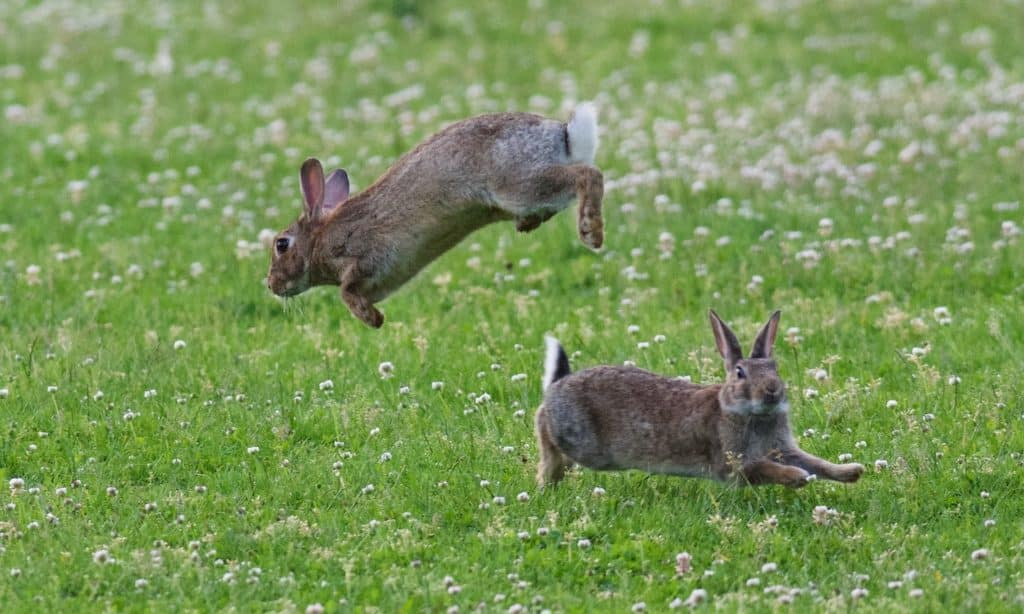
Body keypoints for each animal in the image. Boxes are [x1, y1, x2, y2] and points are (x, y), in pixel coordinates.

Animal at [266, 103, 606, 329]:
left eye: (282, 244)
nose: (271, 284)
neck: (319, 241)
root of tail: (562, 135)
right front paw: (377, 318)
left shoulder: (367, 255)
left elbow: (347, 291)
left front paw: (373, 319)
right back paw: (528, 224)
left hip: (518, 184)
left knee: (589, 175)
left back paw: (591, 231)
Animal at [536, 311, 864, 489]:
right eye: (740, 373)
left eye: (775, 368)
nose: (772, 390)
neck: (751, 414)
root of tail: (558, 384)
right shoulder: (731, 462)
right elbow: (764, 468)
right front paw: (796, 477)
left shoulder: (782, 447)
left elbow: (815, 462)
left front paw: (852, 472)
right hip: (583, 444)